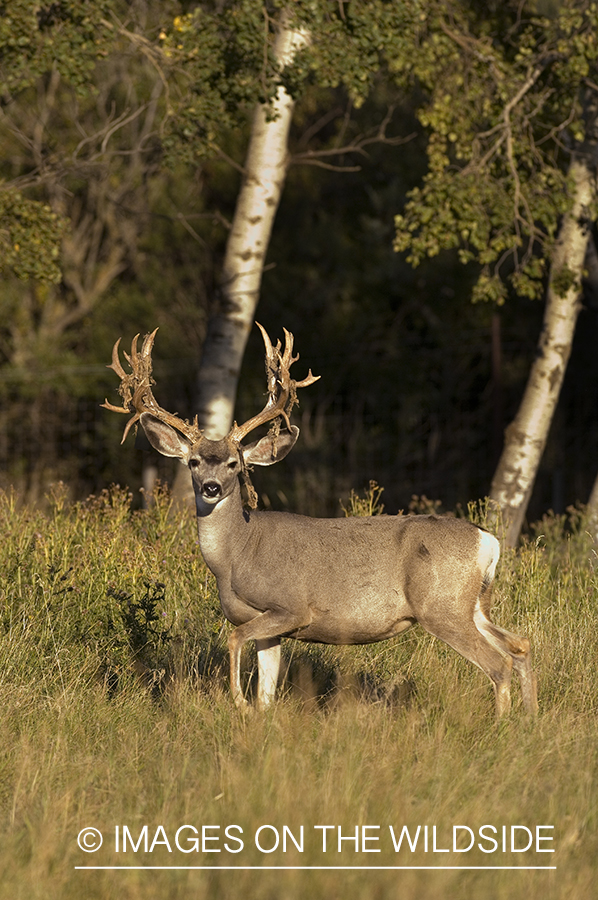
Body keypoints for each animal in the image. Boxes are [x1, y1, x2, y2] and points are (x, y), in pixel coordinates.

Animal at [105, 324, 540, 716]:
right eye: (194, 461)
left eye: (234, 463)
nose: (211, 487)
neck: (234, 557)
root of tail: (489, 541)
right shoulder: (273, 629)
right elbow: (266, 692)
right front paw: (257, 717)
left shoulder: (290, 607)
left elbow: (233, 639)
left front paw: (238, 702)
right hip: (474, 603)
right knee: (520, 645)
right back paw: (530, 719)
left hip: (442, 605)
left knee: (499, 663)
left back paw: (502, 726)